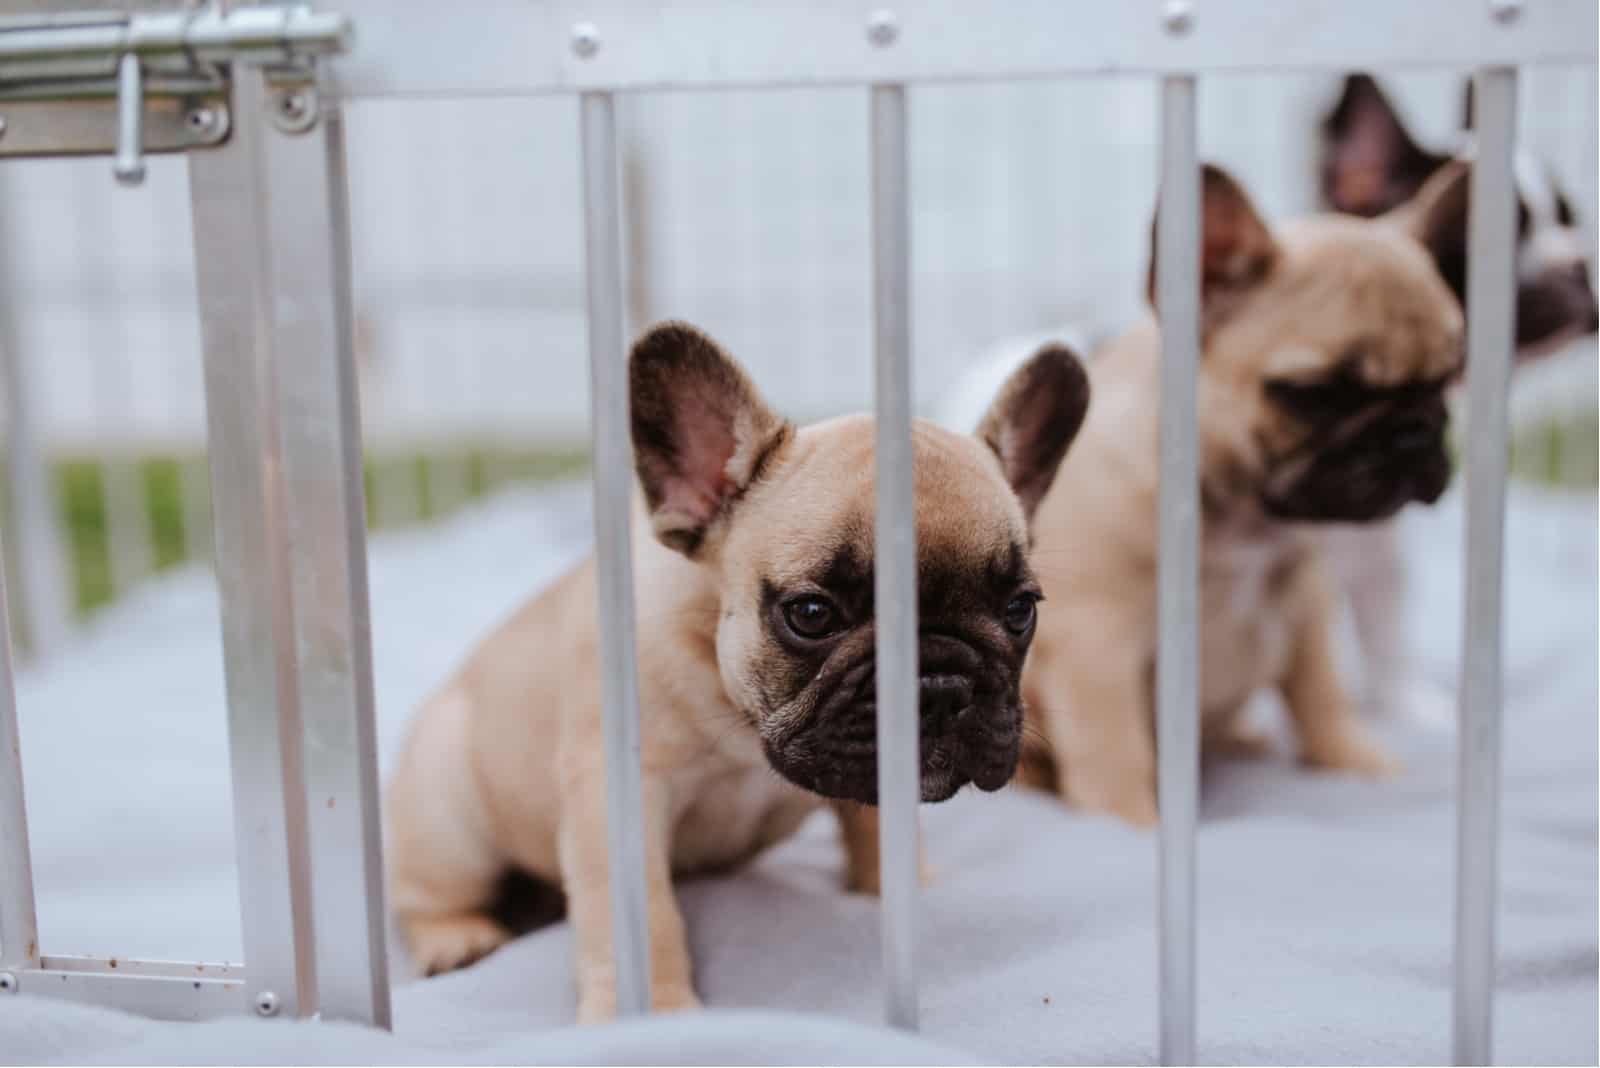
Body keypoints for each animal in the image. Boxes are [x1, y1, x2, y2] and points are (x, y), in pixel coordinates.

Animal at [382, 319, 1094, 1016]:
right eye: (811, 613)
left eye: (1019, 610)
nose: (941, 685)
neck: (743, 721)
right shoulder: (616, 795)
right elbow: (641, 917)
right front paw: (657, 1014)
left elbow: (880, 834)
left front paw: (904, 888)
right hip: (447, 818)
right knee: (425, 893)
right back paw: (458, 939)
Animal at [1011, 164, 1465, 824]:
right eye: (1313, 393)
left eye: (1449, 378)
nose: (1413, 430)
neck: (1240, 513)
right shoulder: (1099, 645)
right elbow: (1114, 748)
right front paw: (1129, 824)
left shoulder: (1304, 612)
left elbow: (1322, 697)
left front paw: (1356, 763)